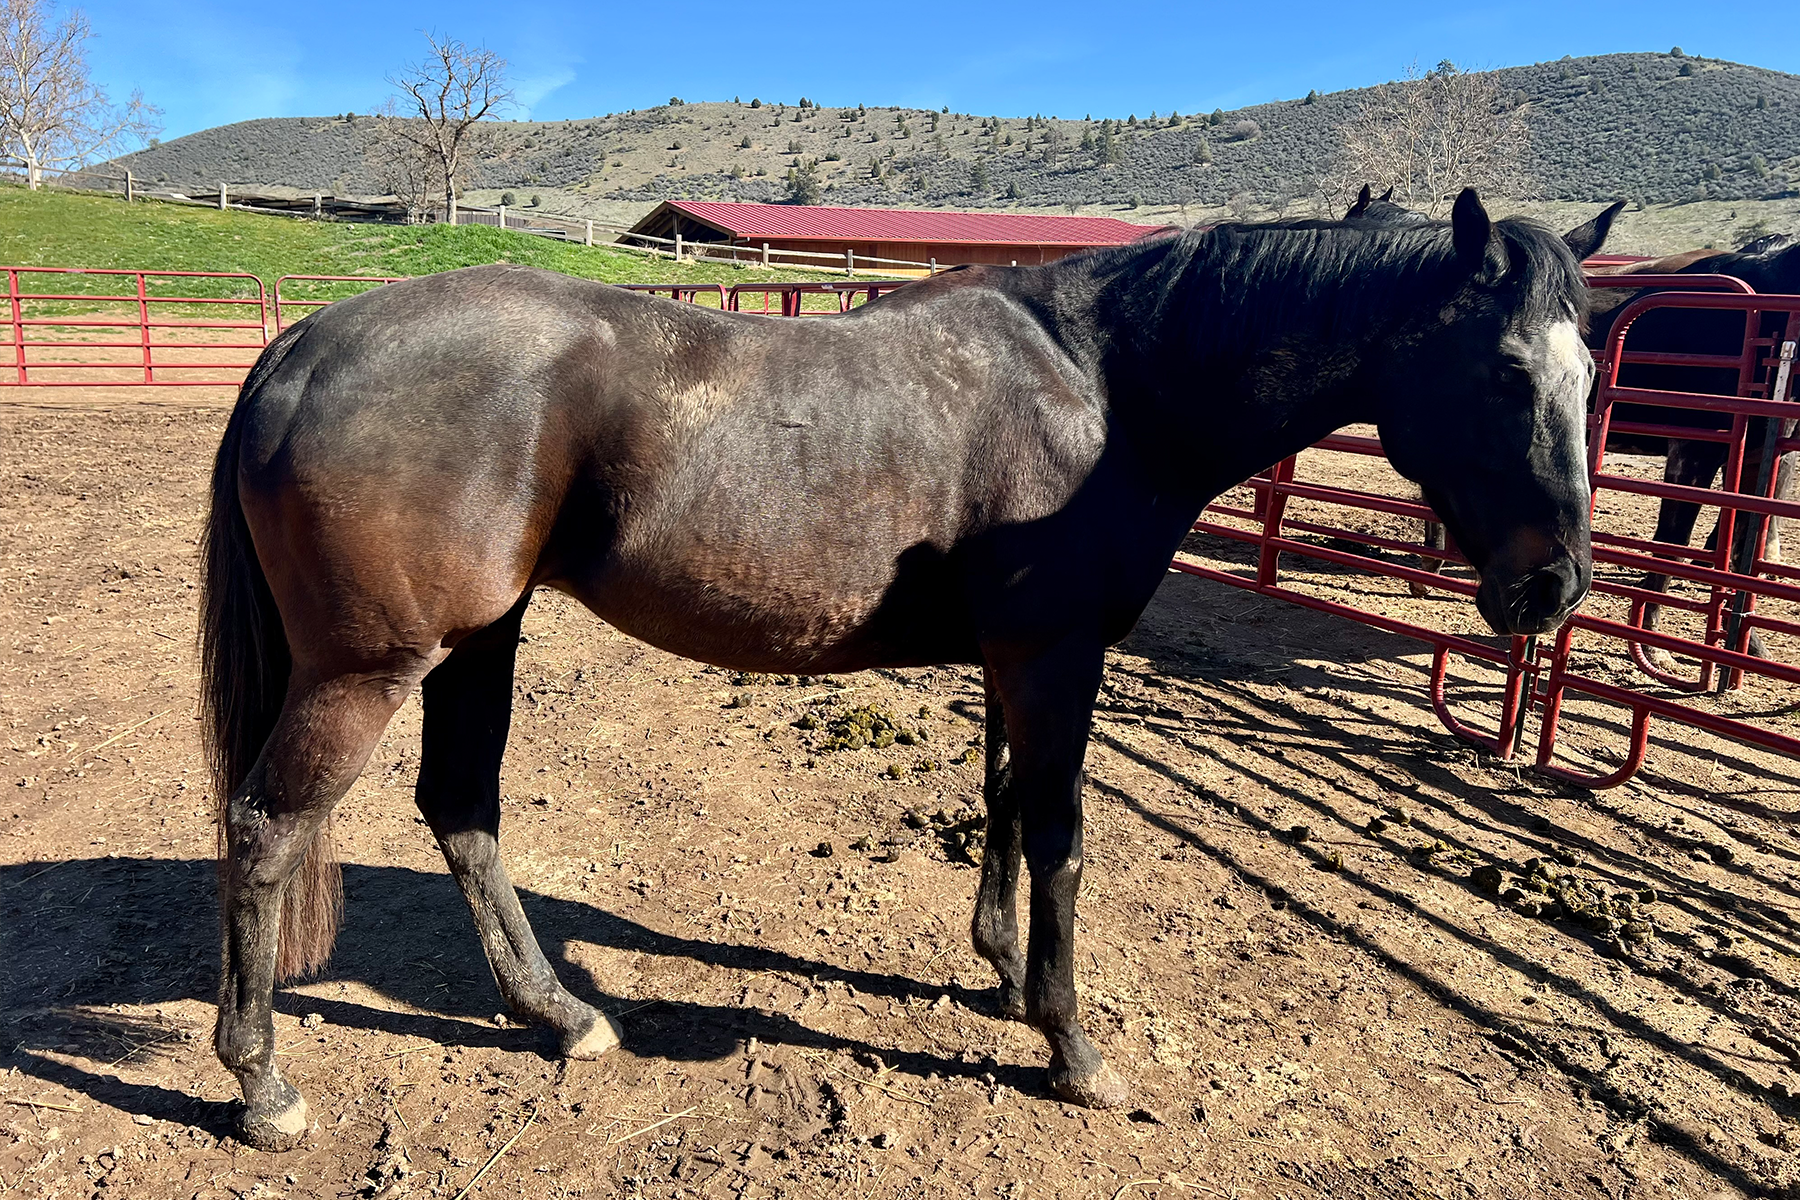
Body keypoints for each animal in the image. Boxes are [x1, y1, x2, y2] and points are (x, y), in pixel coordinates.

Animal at [201, 189, 1604, 1150]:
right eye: (1502, 371)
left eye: (1595, 375)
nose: (1553, 588)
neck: (1109, 387)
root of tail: (305, 345)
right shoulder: (1056, 659)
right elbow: (1061, 837)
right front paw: (1070, 1043)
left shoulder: (1016, 659)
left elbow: (1002, 805)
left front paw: (1001, 967)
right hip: (367, 670)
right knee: (267, 826)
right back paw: (262, 1082)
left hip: (475, 645)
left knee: (462, 811)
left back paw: (560, 1015)